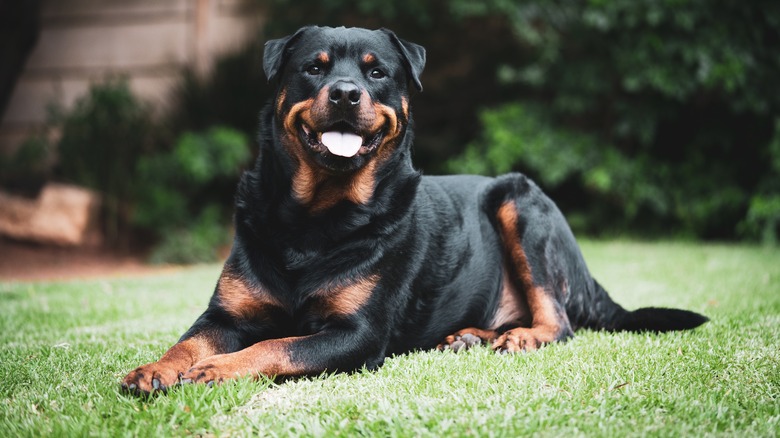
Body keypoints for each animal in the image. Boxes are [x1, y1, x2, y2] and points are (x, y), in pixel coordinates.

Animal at [120, 27, 708, 396]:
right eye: (314, 68)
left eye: (378, 73)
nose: (346, 93)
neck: (315, 216)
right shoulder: (224, 315)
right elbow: (189, 341)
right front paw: (153, 369)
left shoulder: (356, 333)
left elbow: (277, 345)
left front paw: (218, 369)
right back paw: (473, 337)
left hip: (520, 202)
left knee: (560, 321)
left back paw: (522, 337)